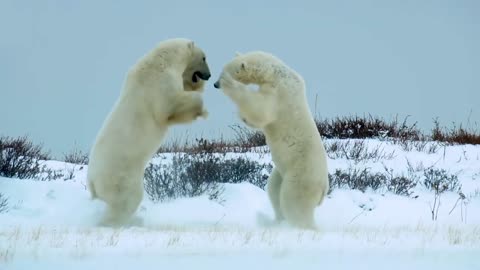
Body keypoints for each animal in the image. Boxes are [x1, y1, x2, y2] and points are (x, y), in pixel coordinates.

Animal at [88, 37, 212, 225]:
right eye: (204, 58)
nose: (209, 75)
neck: (162, 60)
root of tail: (92, 183)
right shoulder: (160, 83)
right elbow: (170, 106)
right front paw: (202, 109)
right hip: (122, 176)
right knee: (127, 201)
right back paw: (121, 222)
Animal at [215, 51, 330, 230]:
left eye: (224, 71)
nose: (215, 84)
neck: (276, 72)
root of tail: (323, 189)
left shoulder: (279, 94)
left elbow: (260, 110)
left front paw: (230, 85)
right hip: (281, 173)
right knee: (274, 189)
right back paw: (275, 221)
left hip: (300, 175)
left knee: (294, 202)